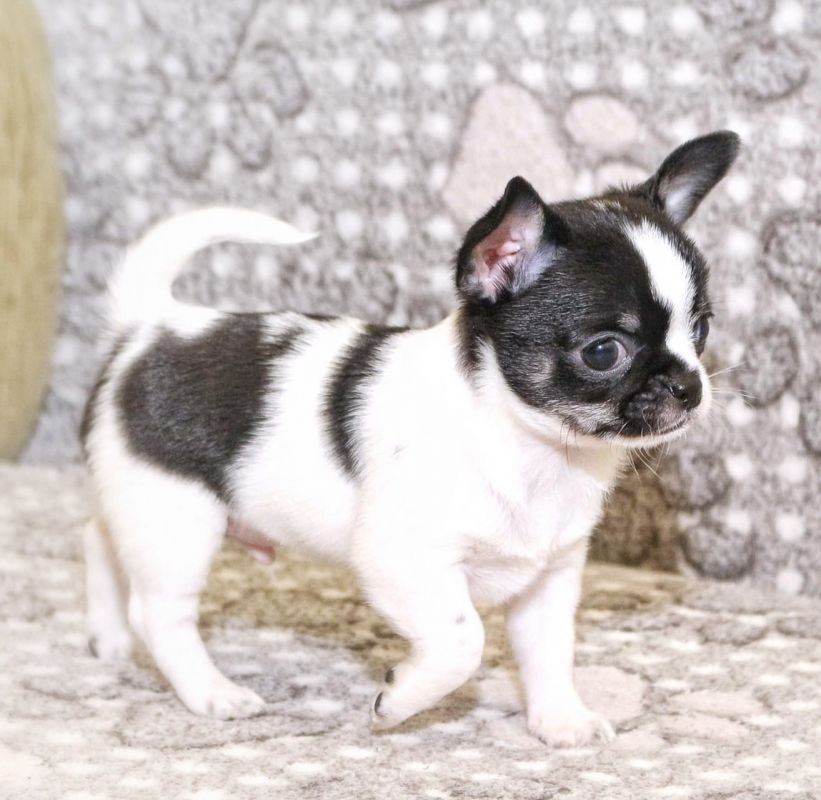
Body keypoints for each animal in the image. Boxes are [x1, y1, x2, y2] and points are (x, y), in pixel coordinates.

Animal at [81, 131, 739, 746]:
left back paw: (108, 637)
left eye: (701, 330)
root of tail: (150, 327)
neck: (534, 447)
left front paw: (560, 720)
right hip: (176, 517)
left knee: (102, 542)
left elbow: (549, 654)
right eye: (605, 352)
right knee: (159, 614)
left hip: (139, 502)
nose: (688, 386)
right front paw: (400, 701)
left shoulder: (549, 582)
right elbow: (464, 641)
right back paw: (210, 691)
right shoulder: (405, 562)